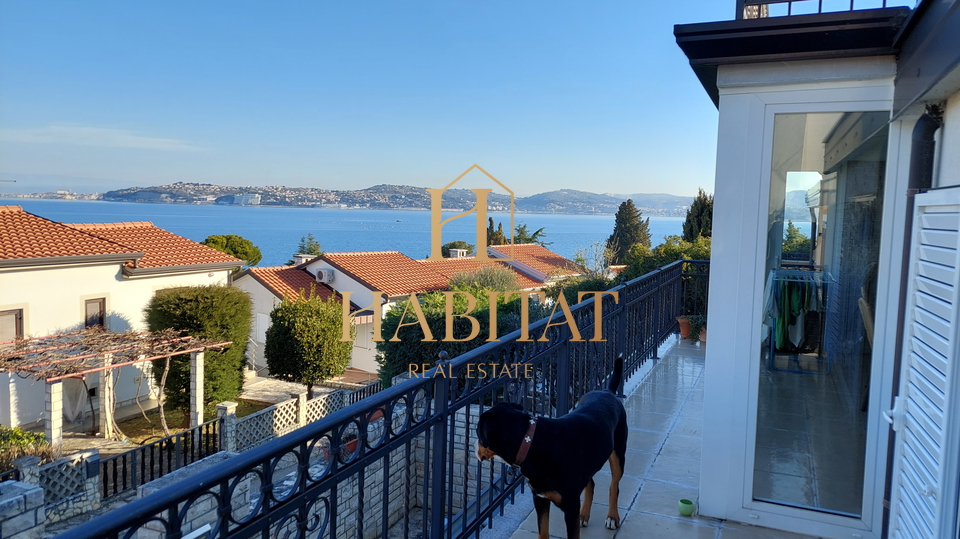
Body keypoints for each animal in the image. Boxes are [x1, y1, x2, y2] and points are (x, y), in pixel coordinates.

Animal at [474, 356, 628, 536]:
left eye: (477, 431)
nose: (474, 445)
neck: (531, 442)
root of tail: (607, 391)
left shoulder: (570, 506)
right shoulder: (540, 498)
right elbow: (543, 531)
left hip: (618, 453)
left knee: (614, 486)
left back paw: (612, 517)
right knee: (591, 484)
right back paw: (584, 514)